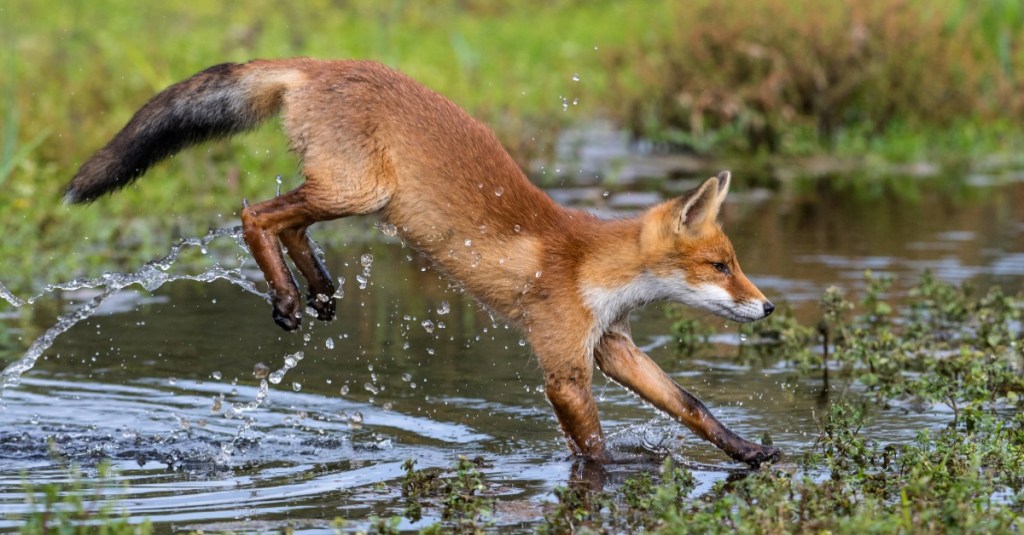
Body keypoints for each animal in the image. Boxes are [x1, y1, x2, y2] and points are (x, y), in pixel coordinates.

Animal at [66, 58, 774, 463]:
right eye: (720, 268)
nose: (767, 306)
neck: (589, 268)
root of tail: (320, 60)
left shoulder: (610, 345)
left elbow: (692, 406)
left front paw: (749, 452)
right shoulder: (563, 365)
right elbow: (595, 449)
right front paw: (625, 472)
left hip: (349, 192)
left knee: (288, 223)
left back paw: (316, 288)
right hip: (360, 190)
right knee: (254, 215)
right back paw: (288, 295)